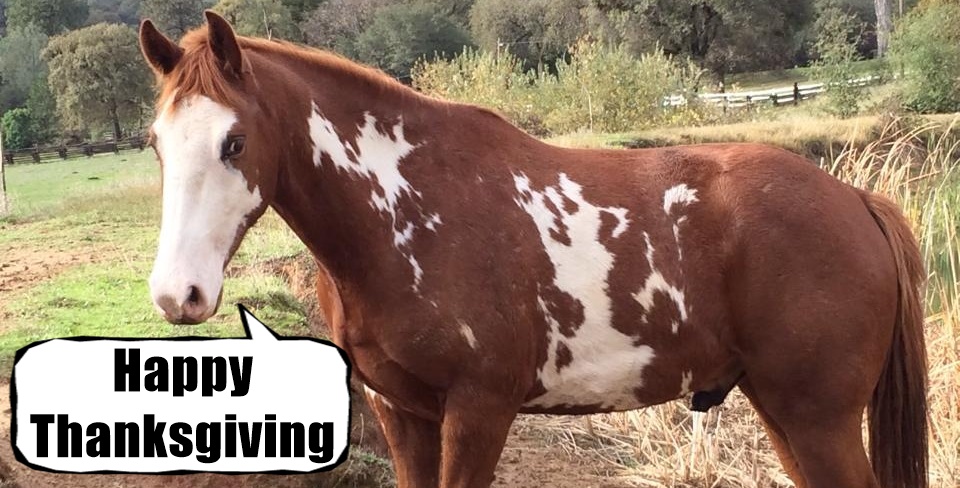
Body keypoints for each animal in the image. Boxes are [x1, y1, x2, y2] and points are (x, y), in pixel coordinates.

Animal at [140, 12, 928, 488]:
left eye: (234, 142)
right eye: (155, 142)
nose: (179, 294)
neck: (404, 216)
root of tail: (855, 200)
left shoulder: (479, 410)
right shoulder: (402, 413)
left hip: (818, 419)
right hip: (784, 412)